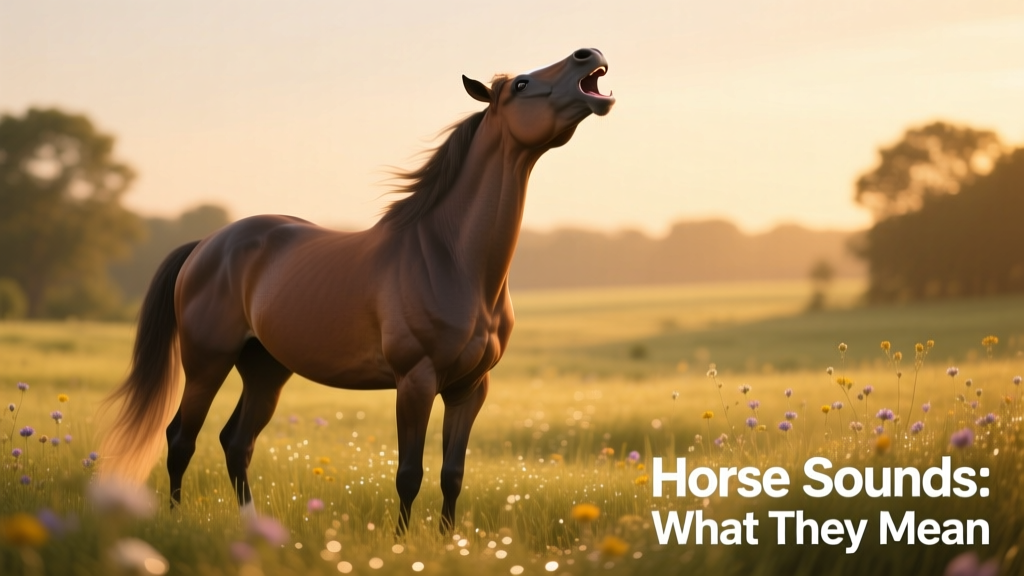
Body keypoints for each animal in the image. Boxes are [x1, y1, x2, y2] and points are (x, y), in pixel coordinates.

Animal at [100, 48, 614, 533]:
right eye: (521, 84)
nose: (589, 56)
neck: (451, 259)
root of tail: (206, 245)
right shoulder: (415, 381)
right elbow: (409, 474)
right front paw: (403, 544)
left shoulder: (470, 388)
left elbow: (452, 474)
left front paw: (449, 540)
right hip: (207, 362)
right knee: (181, 438)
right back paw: (174, 519)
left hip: (265, 369)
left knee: (236, 442)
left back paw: (254, 527)